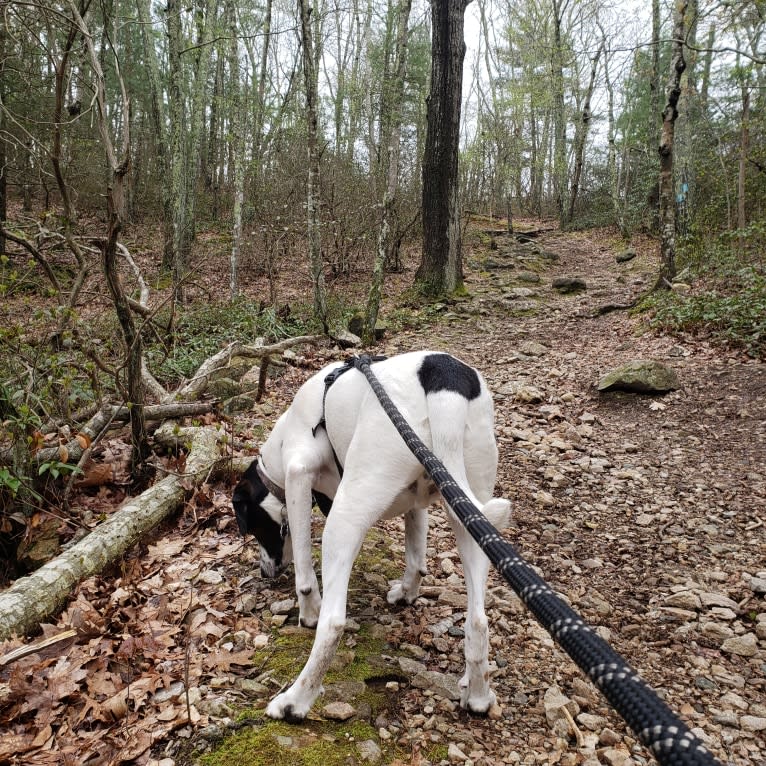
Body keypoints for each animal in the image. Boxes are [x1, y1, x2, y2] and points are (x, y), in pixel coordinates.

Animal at [232, 352, 510, 724]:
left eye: (253, 528)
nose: (265, 573)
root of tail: (442, 375)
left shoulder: (298, 475)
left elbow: (305, 571)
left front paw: (308, 610)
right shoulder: (417, 503)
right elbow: (416, 557)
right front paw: (407, 593)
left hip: (347, 513)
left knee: (334, 623)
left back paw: (294, 701)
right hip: (470, 510)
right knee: (478, 620)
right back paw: (478, 695)